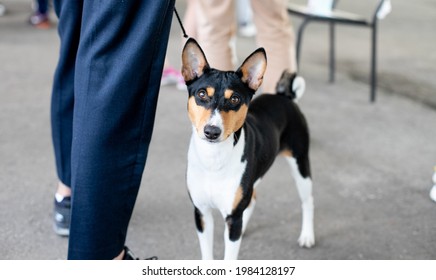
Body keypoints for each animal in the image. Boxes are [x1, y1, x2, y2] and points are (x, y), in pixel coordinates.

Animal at [180, 38, 314, 260]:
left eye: (234, 99)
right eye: (202, 94)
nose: (212, 131)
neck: (213, 160)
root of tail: (285, 96)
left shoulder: (233, 217)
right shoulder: (201, 213)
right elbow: (207, 256)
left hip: (300, 163)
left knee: (308, 200)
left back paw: (307, 236)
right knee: (253, 199)